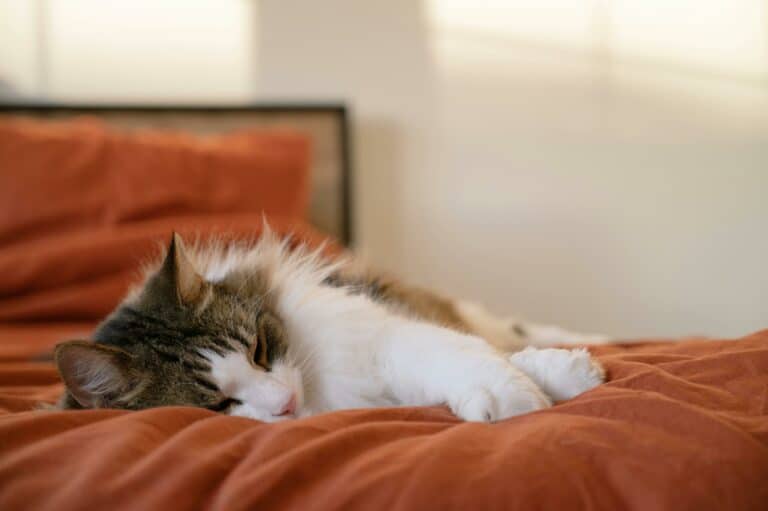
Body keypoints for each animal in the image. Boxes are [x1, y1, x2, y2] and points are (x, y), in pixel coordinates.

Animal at [54, 232, 608, 424]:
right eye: (218, 404)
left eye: (259, 351)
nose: (284, 403)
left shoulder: (384, 336)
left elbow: (470, 354)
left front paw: (561, 378)